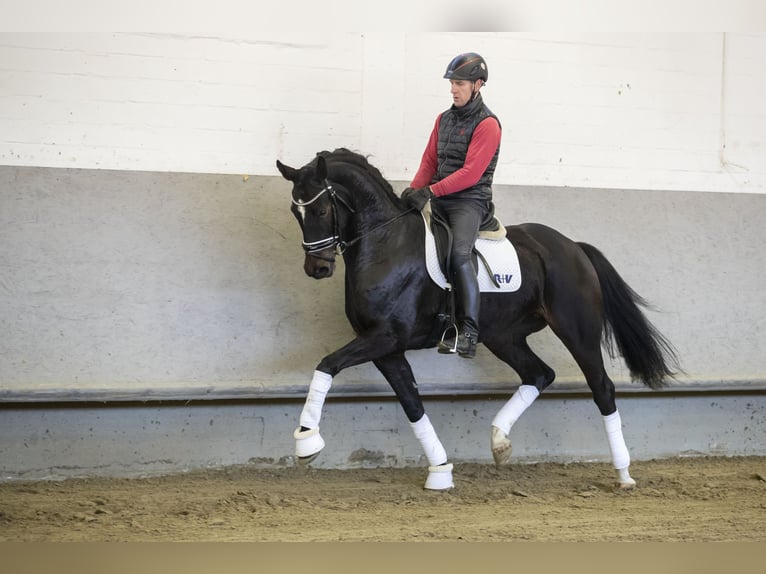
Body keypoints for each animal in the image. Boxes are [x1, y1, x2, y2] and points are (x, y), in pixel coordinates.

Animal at [276, 147, 680, 490]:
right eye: (296, 213)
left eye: (320, 211)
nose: (317, 268)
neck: (386, 244)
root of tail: (573, 247)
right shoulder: (386, 349)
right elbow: (412, 403)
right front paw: (440, 471)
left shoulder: (385, 337)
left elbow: (327, 364)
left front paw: (307, 440)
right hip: (504, 336)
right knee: (539, 374)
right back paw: (499, 441)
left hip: (577, 332)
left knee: (602, 388)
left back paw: (623, 474)